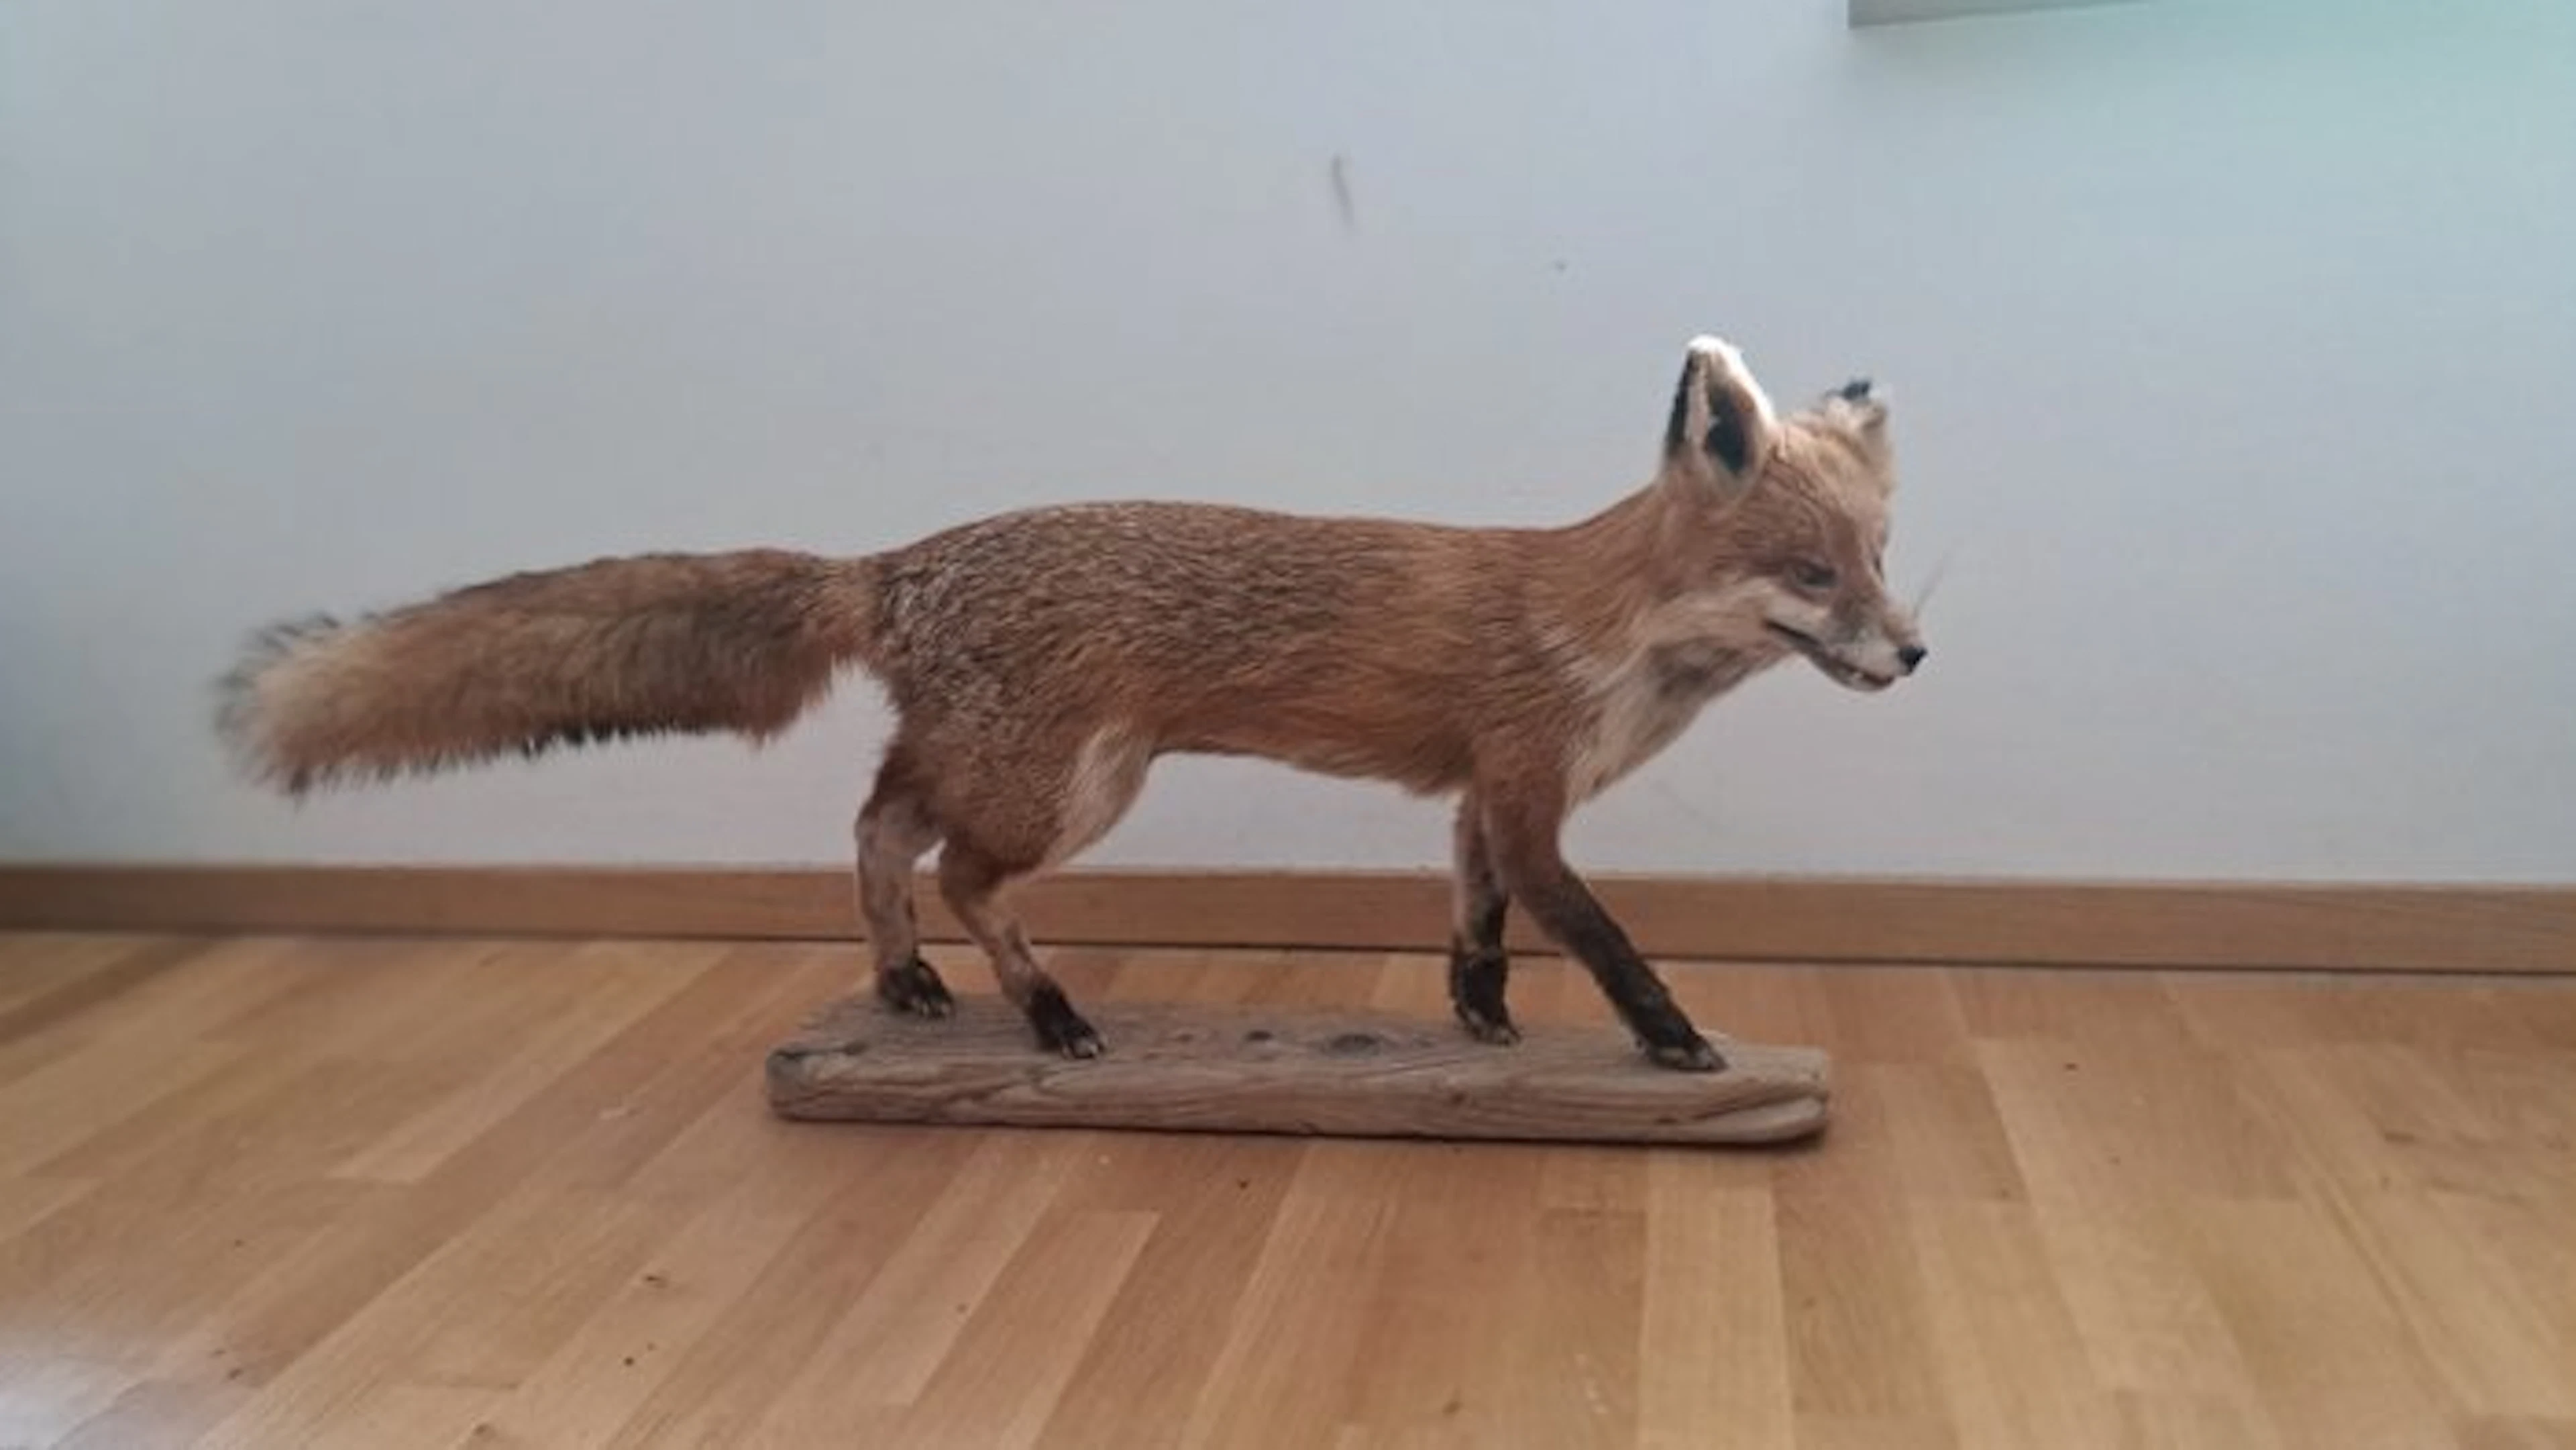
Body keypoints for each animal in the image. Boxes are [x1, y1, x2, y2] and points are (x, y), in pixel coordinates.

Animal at [217, 334, 1924, 1072]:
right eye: (1808, 573)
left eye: (1881, 558)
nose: (1912, 656)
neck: (1605, 636)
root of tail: (898, 560)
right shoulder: (1523, 789)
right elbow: (1607, 939)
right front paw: (1673, 1041)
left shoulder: (1474, 805)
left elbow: (1478, 931)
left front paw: (1483, 1024)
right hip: (1070, 789)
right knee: (961, 872)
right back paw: (1043, 1014)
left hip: (997, 761)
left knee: (873, 831)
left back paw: (907, 985)